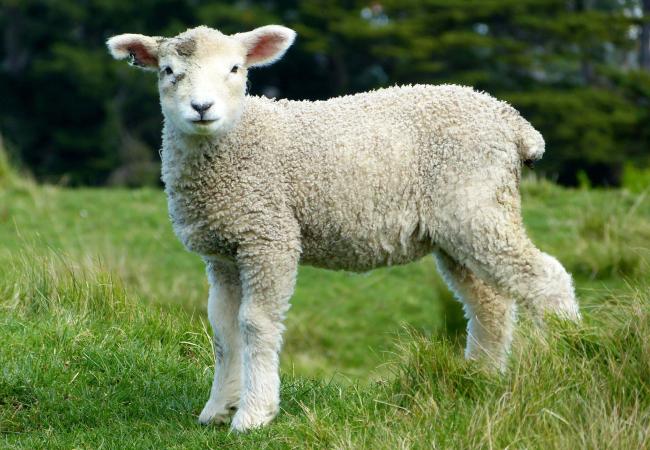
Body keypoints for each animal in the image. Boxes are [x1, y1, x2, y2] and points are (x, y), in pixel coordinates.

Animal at [107, 24, 581, 432]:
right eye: (169, 71)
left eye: (235, 69)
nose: (202, 108)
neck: (238, 142)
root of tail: (513, 121)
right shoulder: (224, 250)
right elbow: (224, 329)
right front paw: (218, 409)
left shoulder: (269, 235)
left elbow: (255, 323)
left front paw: (254, 413)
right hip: (459, 226)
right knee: (489, 304)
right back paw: (479, 380)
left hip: (477, 206)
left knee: (546, 278)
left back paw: (569, 360)